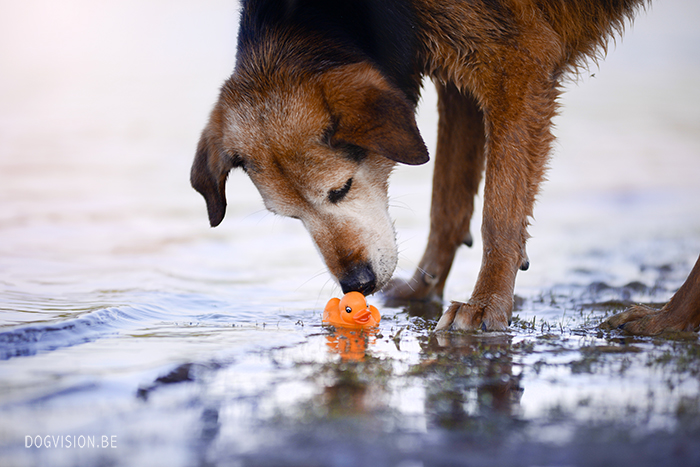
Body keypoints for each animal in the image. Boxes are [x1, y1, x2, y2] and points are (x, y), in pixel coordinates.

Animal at [191, 0, 700, 336]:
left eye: (341, 189)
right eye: (292, 216)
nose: (358, 285)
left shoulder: (518, 67)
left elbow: (499, 213)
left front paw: (486, 303)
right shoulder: (460, 82)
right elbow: (448, 201)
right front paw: (423, 287)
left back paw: (667, 320)